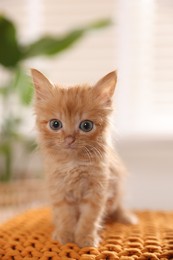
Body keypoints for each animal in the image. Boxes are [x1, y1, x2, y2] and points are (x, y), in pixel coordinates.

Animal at [31, 69, 138, 248]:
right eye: (55, 124)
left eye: (86, 126)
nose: (69, 139)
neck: (73, 163)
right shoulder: (59, 189)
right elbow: (66, 216)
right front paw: (66, 235)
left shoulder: (98, 189)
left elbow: (89, 218)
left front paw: (85, 238)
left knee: (118, 207)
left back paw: (127, 217)